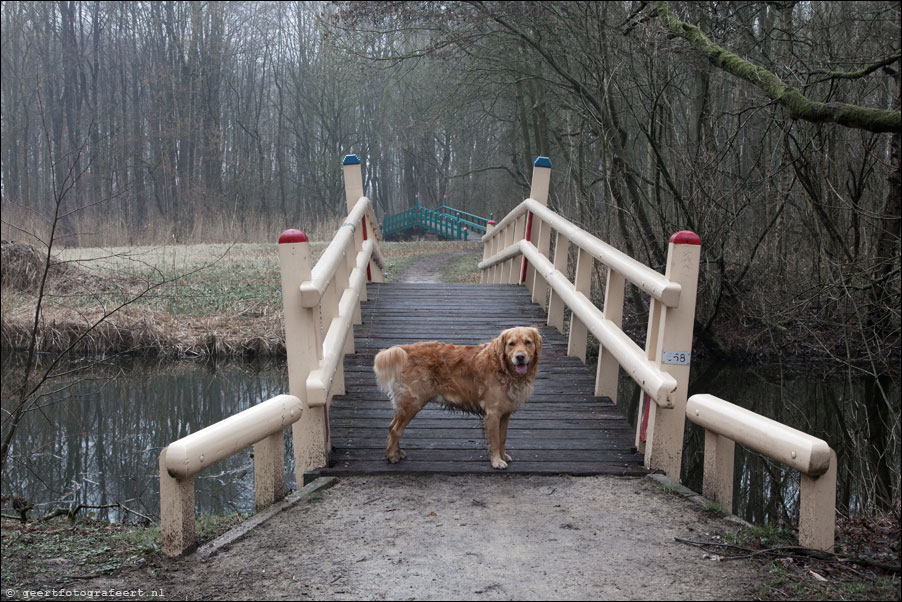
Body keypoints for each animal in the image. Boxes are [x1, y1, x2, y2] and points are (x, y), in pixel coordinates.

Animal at [370, 324, 540, 468]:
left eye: (528, 342)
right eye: (511, 344)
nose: (520, 357)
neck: (503, 368)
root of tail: (405, 349)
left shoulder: (504, 414)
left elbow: (502, 438)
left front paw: (503, 455)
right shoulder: (492, 413)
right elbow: (495, 440)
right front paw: (496, 461)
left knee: (392, 426)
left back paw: (397, 452)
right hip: (413, 403)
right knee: (395, 430)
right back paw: (392, 456)